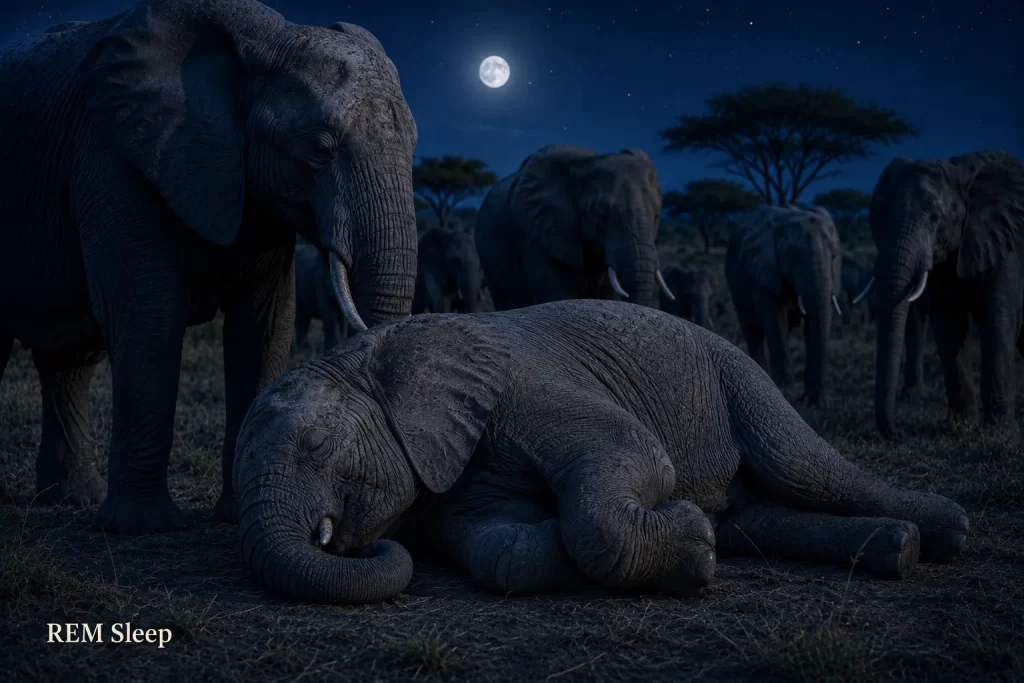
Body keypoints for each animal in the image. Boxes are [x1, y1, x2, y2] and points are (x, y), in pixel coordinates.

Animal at [0, 0, 419, 533]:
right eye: (320, 149)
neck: (264, 40)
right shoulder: (112, 154)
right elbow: (148, 314)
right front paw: (143, 527)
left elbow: (263, 326)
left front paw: (240, 516)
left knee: (69, 360)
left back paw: (72, 499)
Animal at [232, 299, 969, 604]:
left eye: (318, 443)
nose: (360, 544)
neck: (374, 349)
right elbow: (501, 551)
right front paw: (686, 535)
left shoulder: (523, 385)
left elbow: (633, 456)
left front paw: (691, 546)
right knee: (763, 519)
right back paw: (896, 548)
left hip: (740, 378)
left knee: (807, 468)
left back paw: (946, 534)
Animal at [725, 205, 843, 406]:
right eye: (794, 257)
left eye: (834, 256)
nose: (817, 402)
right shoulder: (764, 275)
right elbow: (777, 322)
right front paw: (786, 395)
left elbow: (813, 324)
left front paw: (815, 401)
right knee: (752, 332)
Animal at [857, 151, 1024, 438]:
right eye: (879, 220)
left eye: (935, 219)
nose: (899, 432)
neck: (961, 174)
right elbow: (949, 327)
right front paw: (960, 426)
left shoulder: (1004, 242)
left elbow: (998, 319)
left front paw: (999, 434)